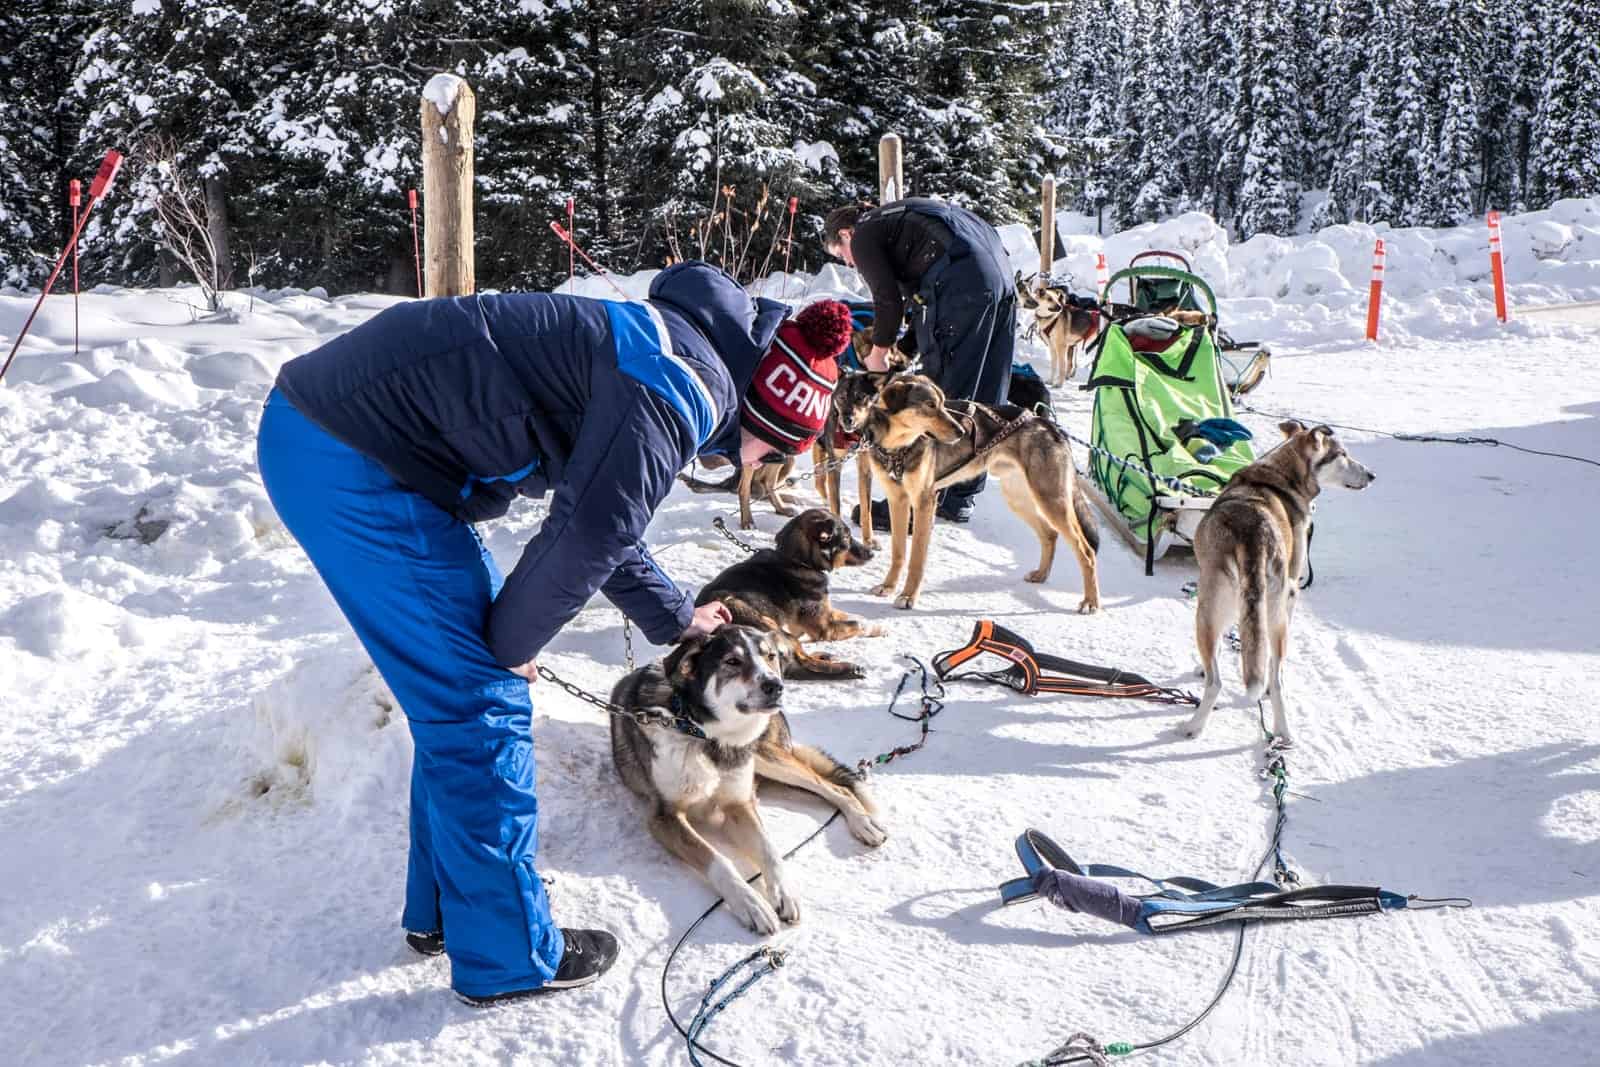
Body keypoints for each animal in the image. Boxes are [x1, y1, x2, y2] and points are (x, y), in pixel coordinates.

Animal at [608, 627, 889, 934]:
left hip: (766, 757)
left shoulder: (738, 804)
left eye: (770, 656)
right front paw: (751, 903)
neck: (704, 733)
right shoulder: (665, 817)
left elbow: (769, 849)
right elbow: (718, 860)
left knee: (833, 786)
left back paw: (863, 823)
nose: (776, 685)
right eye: (732, 661)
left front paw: (784, 892)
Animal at [1184, 422, 1382, 748]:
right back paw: (1279, 729)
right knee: (1271, 680)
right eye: (1342, 454)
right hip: (1269, 613)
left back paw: (1198, 726)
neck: (1279, 474)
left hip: (1210, 611)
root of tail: (1253, 531)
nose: (1372, 475)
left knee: (1224, 680)